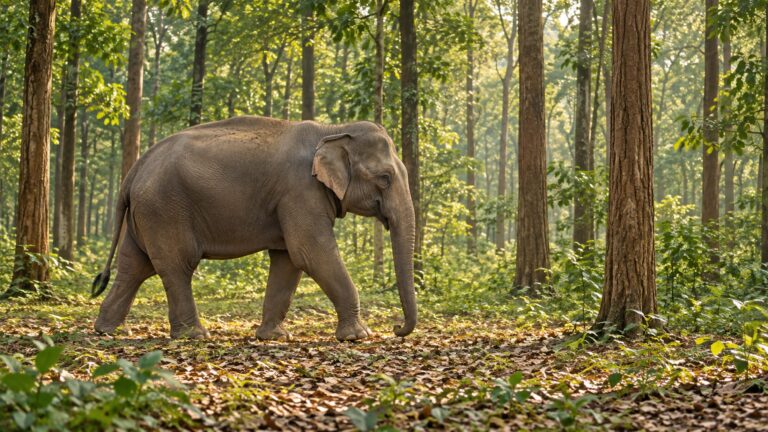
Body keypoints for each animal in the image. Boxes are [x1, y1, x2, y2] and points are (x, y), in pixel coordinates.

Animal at [91, 116, 417, 341]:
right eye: (385, 178)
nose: (396, 328)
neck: (333, 130)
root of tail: (135, 168)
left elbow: (288, 260)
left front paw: (273, 337)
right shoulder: (299, 191)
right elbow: (310, 252)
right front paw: (358, 336)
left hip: (146, 214)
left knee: (134, 267)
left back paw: (108, 330)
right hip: (164, 209)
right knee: (177, 266)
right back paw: (195, 336)